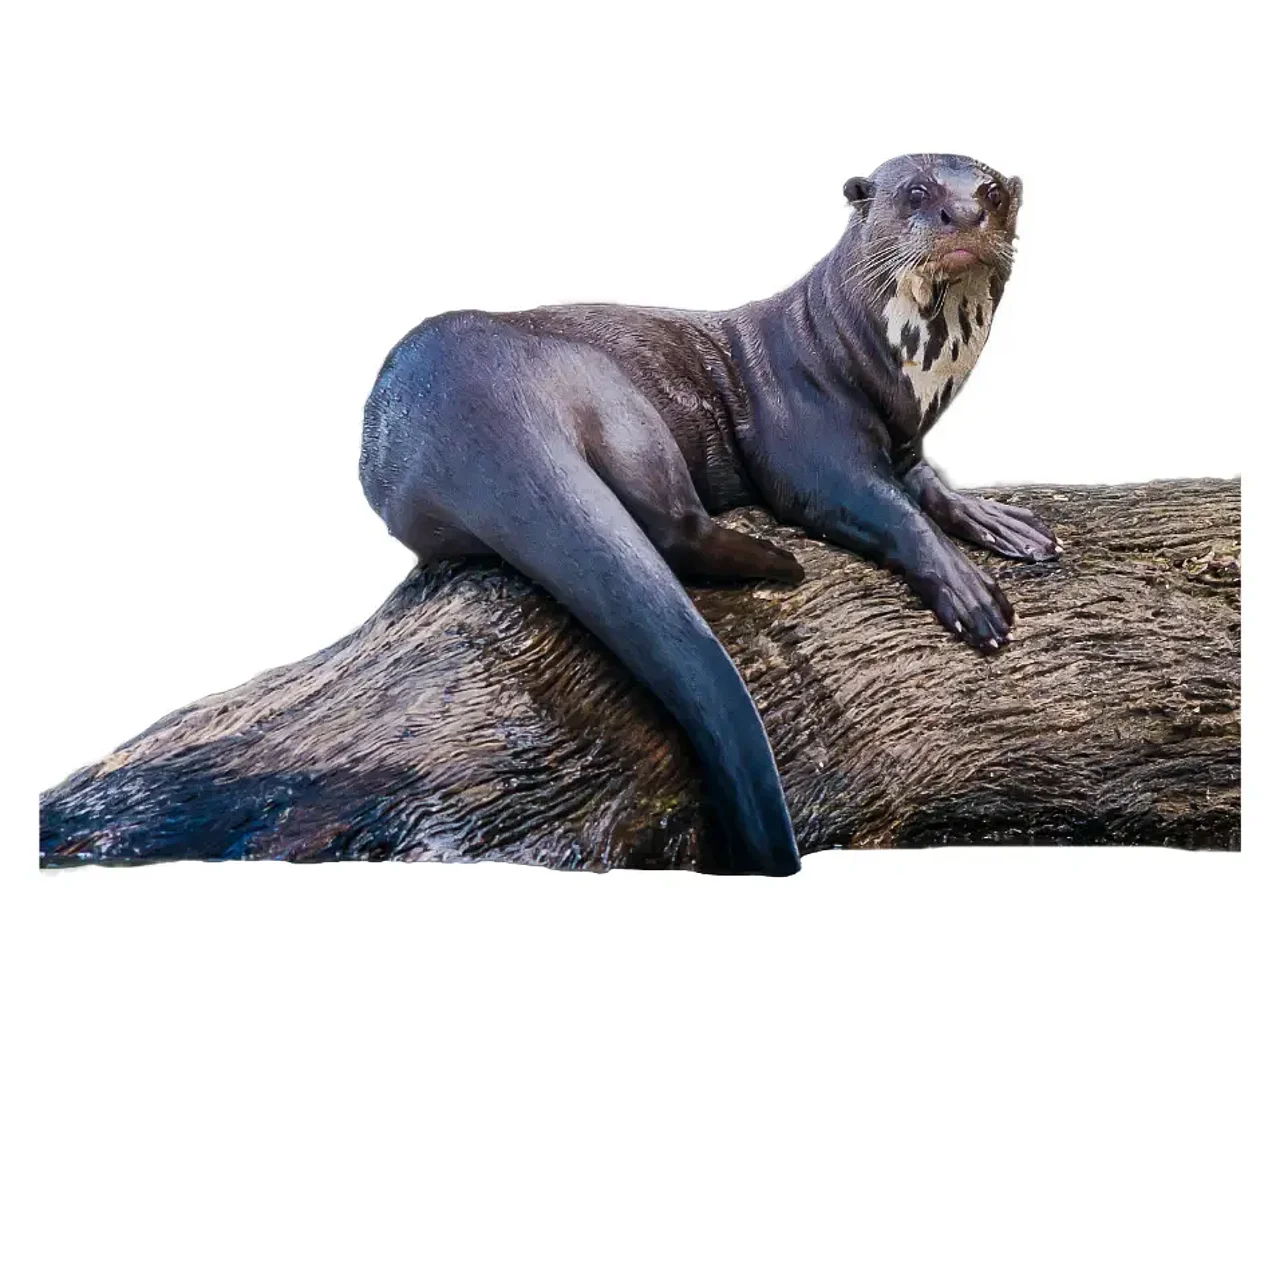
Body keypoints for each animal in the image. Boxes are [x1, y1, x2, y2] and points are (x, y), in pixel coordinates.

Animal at [360, 153, 1059, 877]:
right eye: (917, 192)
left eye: (992, 192)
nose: (965, 213)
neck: (862, 357)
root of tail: (464, 405)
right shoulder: (806, 439)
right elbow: (885, 507)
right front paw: (968, 591)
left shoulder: (904, 444)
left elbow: (930, 486)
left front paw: (1001, 521)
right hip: (610, 392)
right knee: (672, 525)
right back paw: (781, 564)